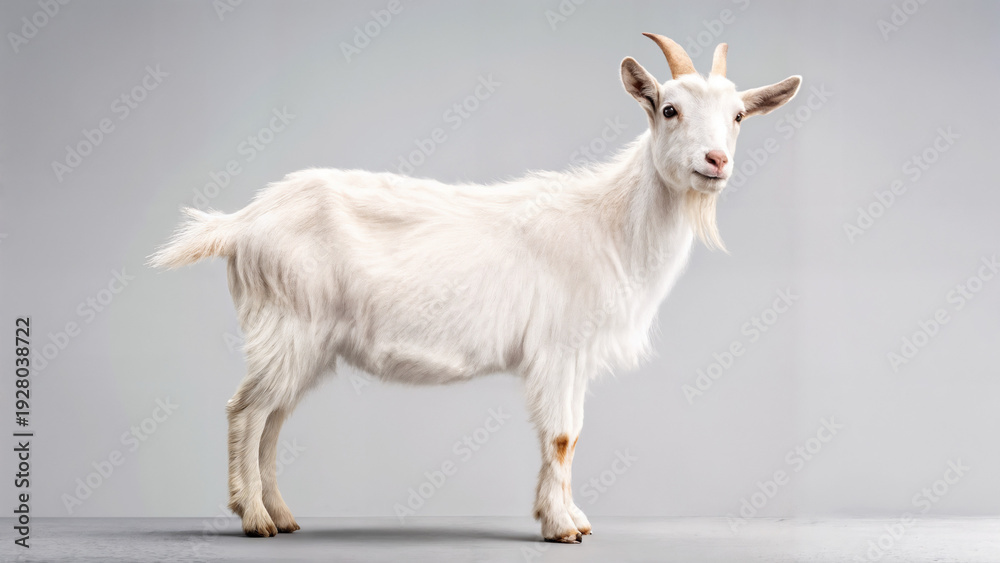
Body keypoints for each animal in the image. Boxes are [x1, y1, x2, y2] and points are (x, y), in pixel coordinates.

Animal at [149, 33, 801, 543]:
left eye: (738, 116)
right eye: (668, 109)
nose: (715, 160)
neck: (611, 224)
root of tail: (242, 222)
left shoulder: (574, 356)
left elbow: (572, 436)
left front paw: (571, 517)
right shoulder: (558, 349)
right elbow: (561, 436)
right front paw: (561, 527)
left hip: (303, 342)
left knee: (273, 418)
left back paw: (281, 515)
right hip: (289, 325)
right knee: (246, 411)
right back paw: (254, 518)